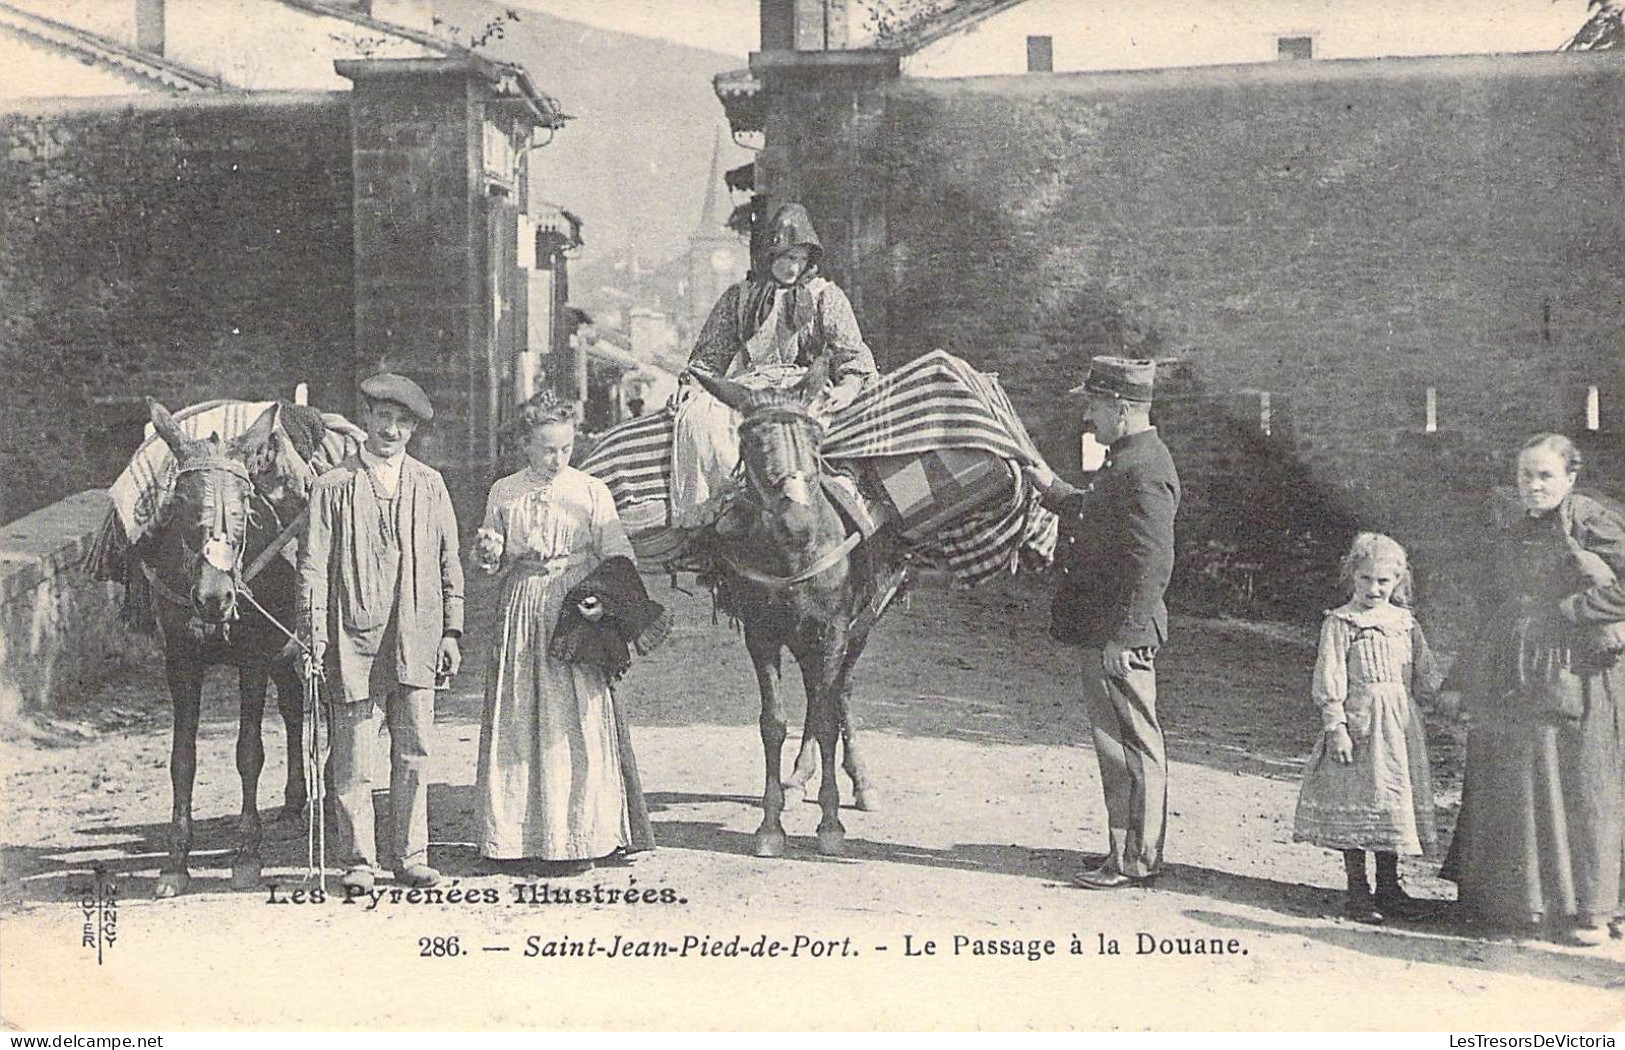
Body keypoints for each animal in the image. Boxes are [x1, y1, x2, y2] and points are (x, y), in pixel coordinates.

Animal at [135, 399, 310, 903]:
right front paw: (175, 863)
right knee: (293, 708)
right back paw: (293, 805)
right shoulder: (181, 663)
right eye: (179, 502)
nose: (215, 598)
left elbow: (249, 752)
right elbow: (182, 759)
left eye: (246, 503)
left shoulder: (253, 660)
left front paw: (247, 855)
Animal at [689, 357, 910, 858]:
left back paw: (859, 784)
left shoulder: (833, 631)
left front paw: (830, 825)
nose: (798, 523)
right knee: (816, 695)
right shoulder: (762, 635)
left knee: (838, 693)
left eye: (814, 438)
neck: (793, 557)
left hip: (862, 624)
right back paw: (796, 781)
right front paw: (771, 825)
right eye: (750, 441)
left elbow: (827, 717)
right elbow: (773, 723)